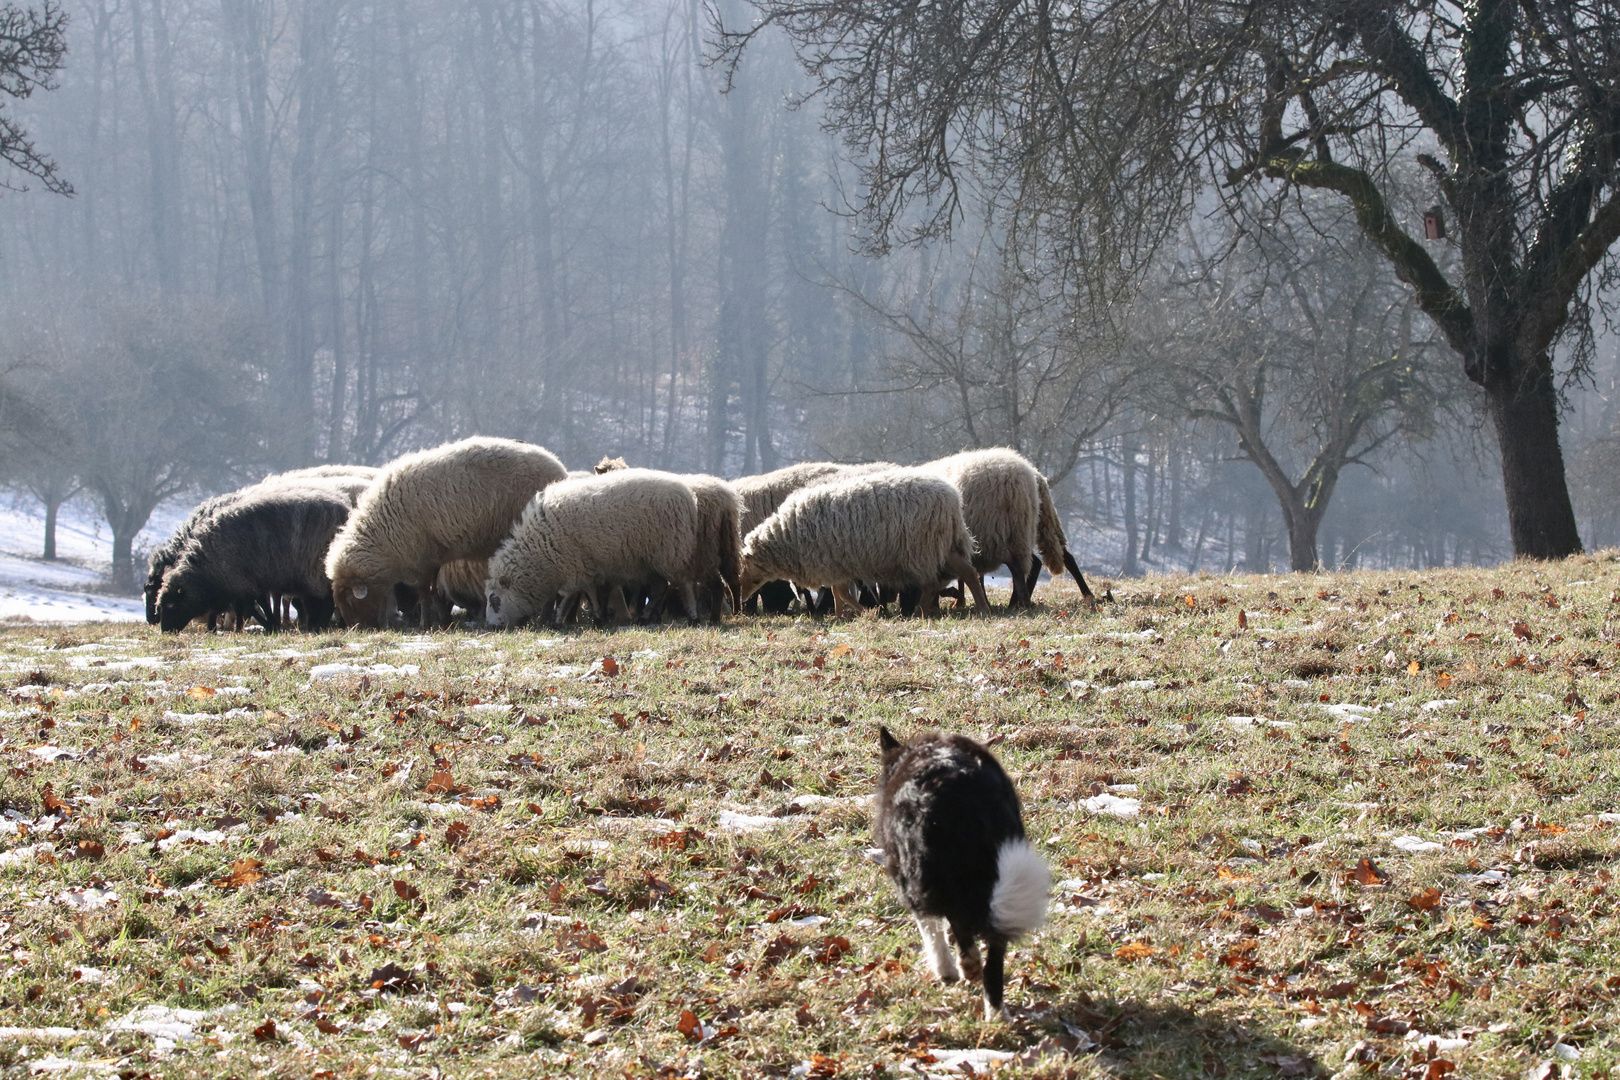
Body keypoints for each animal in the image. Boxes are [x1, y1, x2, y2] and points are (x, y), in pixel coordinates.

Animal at [156, 482, 353, 634]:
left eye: (172, 605)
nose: (164, 630)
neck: (206, 566)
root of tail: (345, 510)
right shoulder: (251, 580)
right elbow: (255, 605)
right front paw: (267, 624)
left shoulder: (242, 580)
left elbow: (251, 606)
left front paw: (266, 625)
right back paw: (315, 624)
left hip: (316, 570)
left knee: (328, 600)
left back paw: (319, 625)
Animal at [322, 437, 570, 628]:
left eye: (350, 600)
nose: (356, 628)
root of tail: (558, 467)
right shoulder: (432, 559)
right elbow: (433, 593)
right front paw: (440, 620)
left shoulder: (420, 560)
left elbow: (425, 593)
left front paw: (426, 622)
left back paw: (545, 618)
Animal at [486, 469, 703, 628]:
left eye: (495, 600)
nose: (491, 627)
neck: (539, 549)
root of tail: (688, 495)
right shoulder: (588, 567)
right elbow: (591, 594)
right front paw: (598, 617)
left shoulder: (575, 566)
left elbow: (570, 596)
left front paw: (562, 621)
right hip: (651, 561)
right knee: (660, 587)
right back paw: (645, 617)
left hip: (672, 551)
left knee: (684, 584)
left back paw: (693, 617)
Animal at [874, 731, 1049, 1016]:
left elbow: (930, 929)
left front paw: (945, 969)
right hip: (1004, 868)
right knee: (996, 945)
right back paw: (996, 1012)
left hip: (931, 876)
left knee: (960, 924)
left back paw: (967, 967)